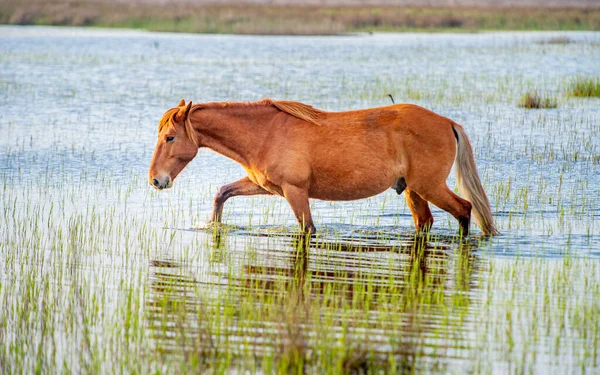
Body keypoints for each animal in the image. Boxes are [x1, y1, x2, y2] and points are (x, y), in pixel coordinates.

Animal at [149, 98, 496, 236]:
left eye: (170, 137)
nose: (156, 180)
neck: (266, 132)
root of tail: (448, 123)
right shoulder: (264, 186)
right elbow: (222, 193)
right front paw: (215, 225)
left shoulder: (295, 192)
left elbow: (308, 229)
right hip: (413, 190)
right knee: (425, 222)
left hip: (430, 186)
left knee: (464, 209)